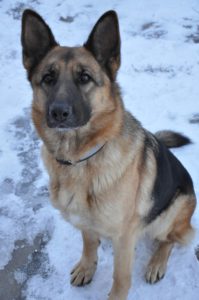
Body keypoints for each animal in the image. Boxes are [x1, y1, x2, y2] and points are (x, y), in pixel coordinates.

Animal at [21, 9, 196, 300]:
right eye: (48, 78)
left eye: (84, 78)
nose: (58, 113)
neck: (79, 160)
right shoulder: (85, 223)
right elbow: (88, 243)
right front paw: (86, 267)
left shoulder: (124, 237)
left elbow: (120, 278)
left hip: (171, 213)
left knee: (170, 239)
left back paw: (157, 262)